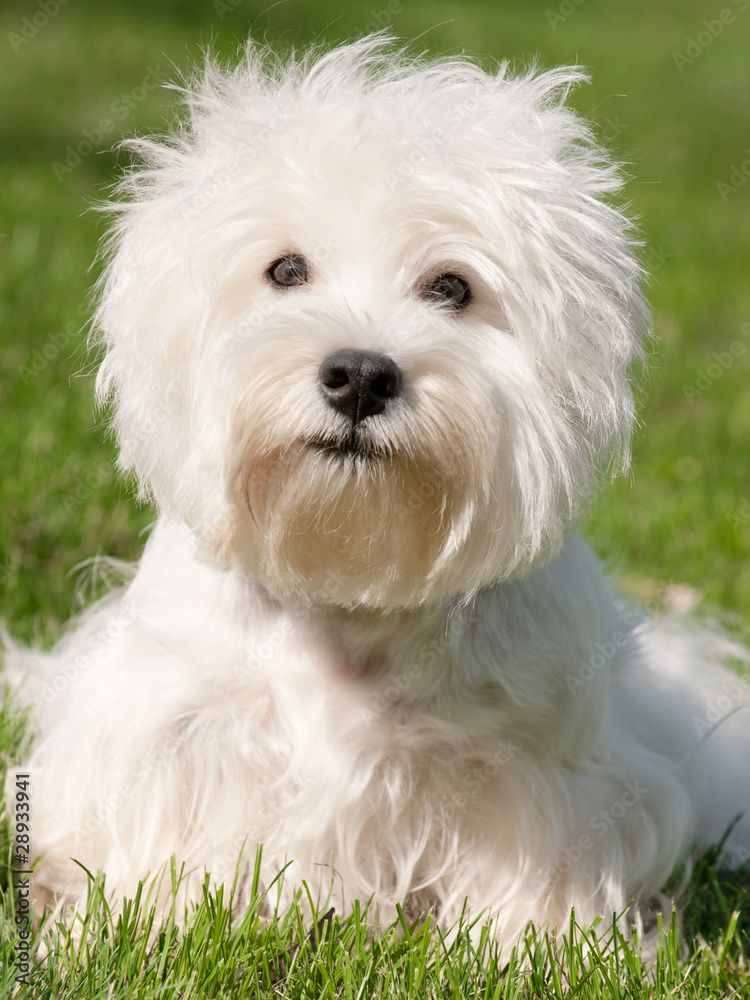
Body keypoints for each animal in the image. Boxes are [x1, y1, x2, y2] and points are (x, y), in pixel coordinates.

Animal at [7, 35, 750, 948]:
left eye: (452, 287)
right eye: (285, 269)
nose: (360, 374)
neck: (347, 588)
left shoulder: (533, 763)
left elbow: (536, 874)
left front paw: (540, 945)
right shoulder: (177, 729)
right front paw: (136, 922)